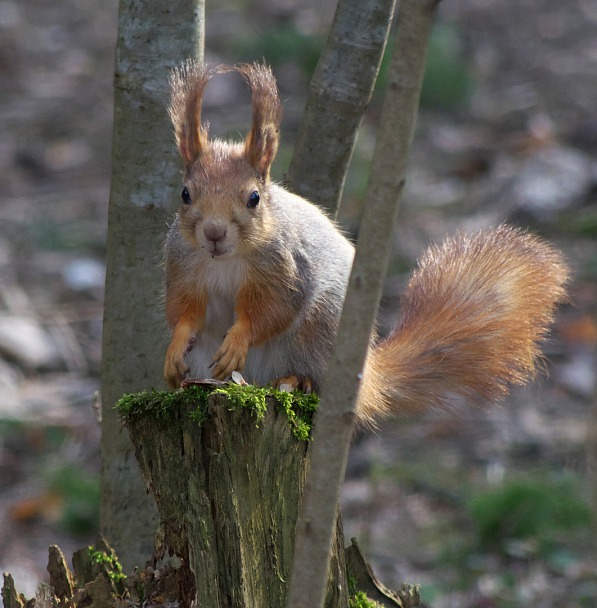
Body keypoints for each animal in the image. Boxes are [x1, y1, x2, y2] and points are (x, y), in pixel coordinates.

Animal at [164, 59, 568, 426]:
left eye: (254, 198)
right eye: (185, 194)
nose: (214, 233)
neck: (225, 260)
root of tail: (365, 378)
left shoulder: (286, 268)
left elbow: (270, 311)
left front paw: (238, 339)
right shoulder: (183, 266)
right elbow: (184, 312)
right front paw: (173, 348)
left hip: (320, 333)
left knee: (308, 372)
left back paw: (296, 379)